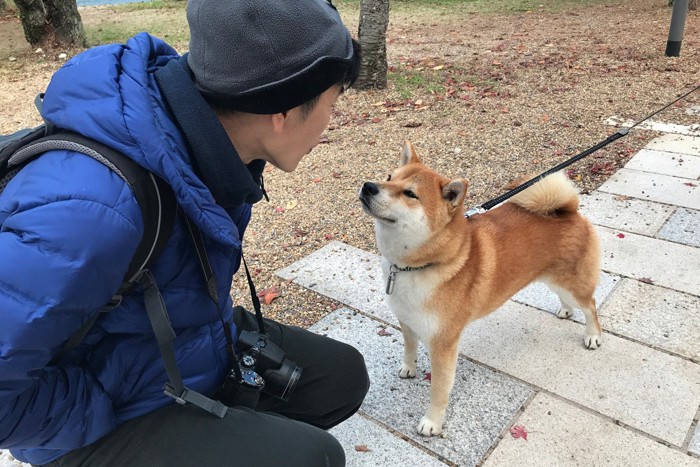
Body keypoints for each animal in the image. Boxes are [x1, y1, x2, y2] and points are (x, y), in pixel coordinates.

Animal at [360, 141, 600, 436]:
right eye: (389, 177)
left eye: (410, 194)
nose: (369, 186)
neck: (415, 266)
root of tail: (570, 211)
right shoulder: (407, 320)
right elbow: (409, 348)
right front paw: (408, 368)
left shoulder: (443, 344)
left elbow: (439, 390)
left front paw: (433, 422)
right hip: (551, 277)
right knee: (567, 298)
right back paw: (565, 311)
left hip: (573, 283)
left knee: (590, 306)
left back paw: (593, 336)